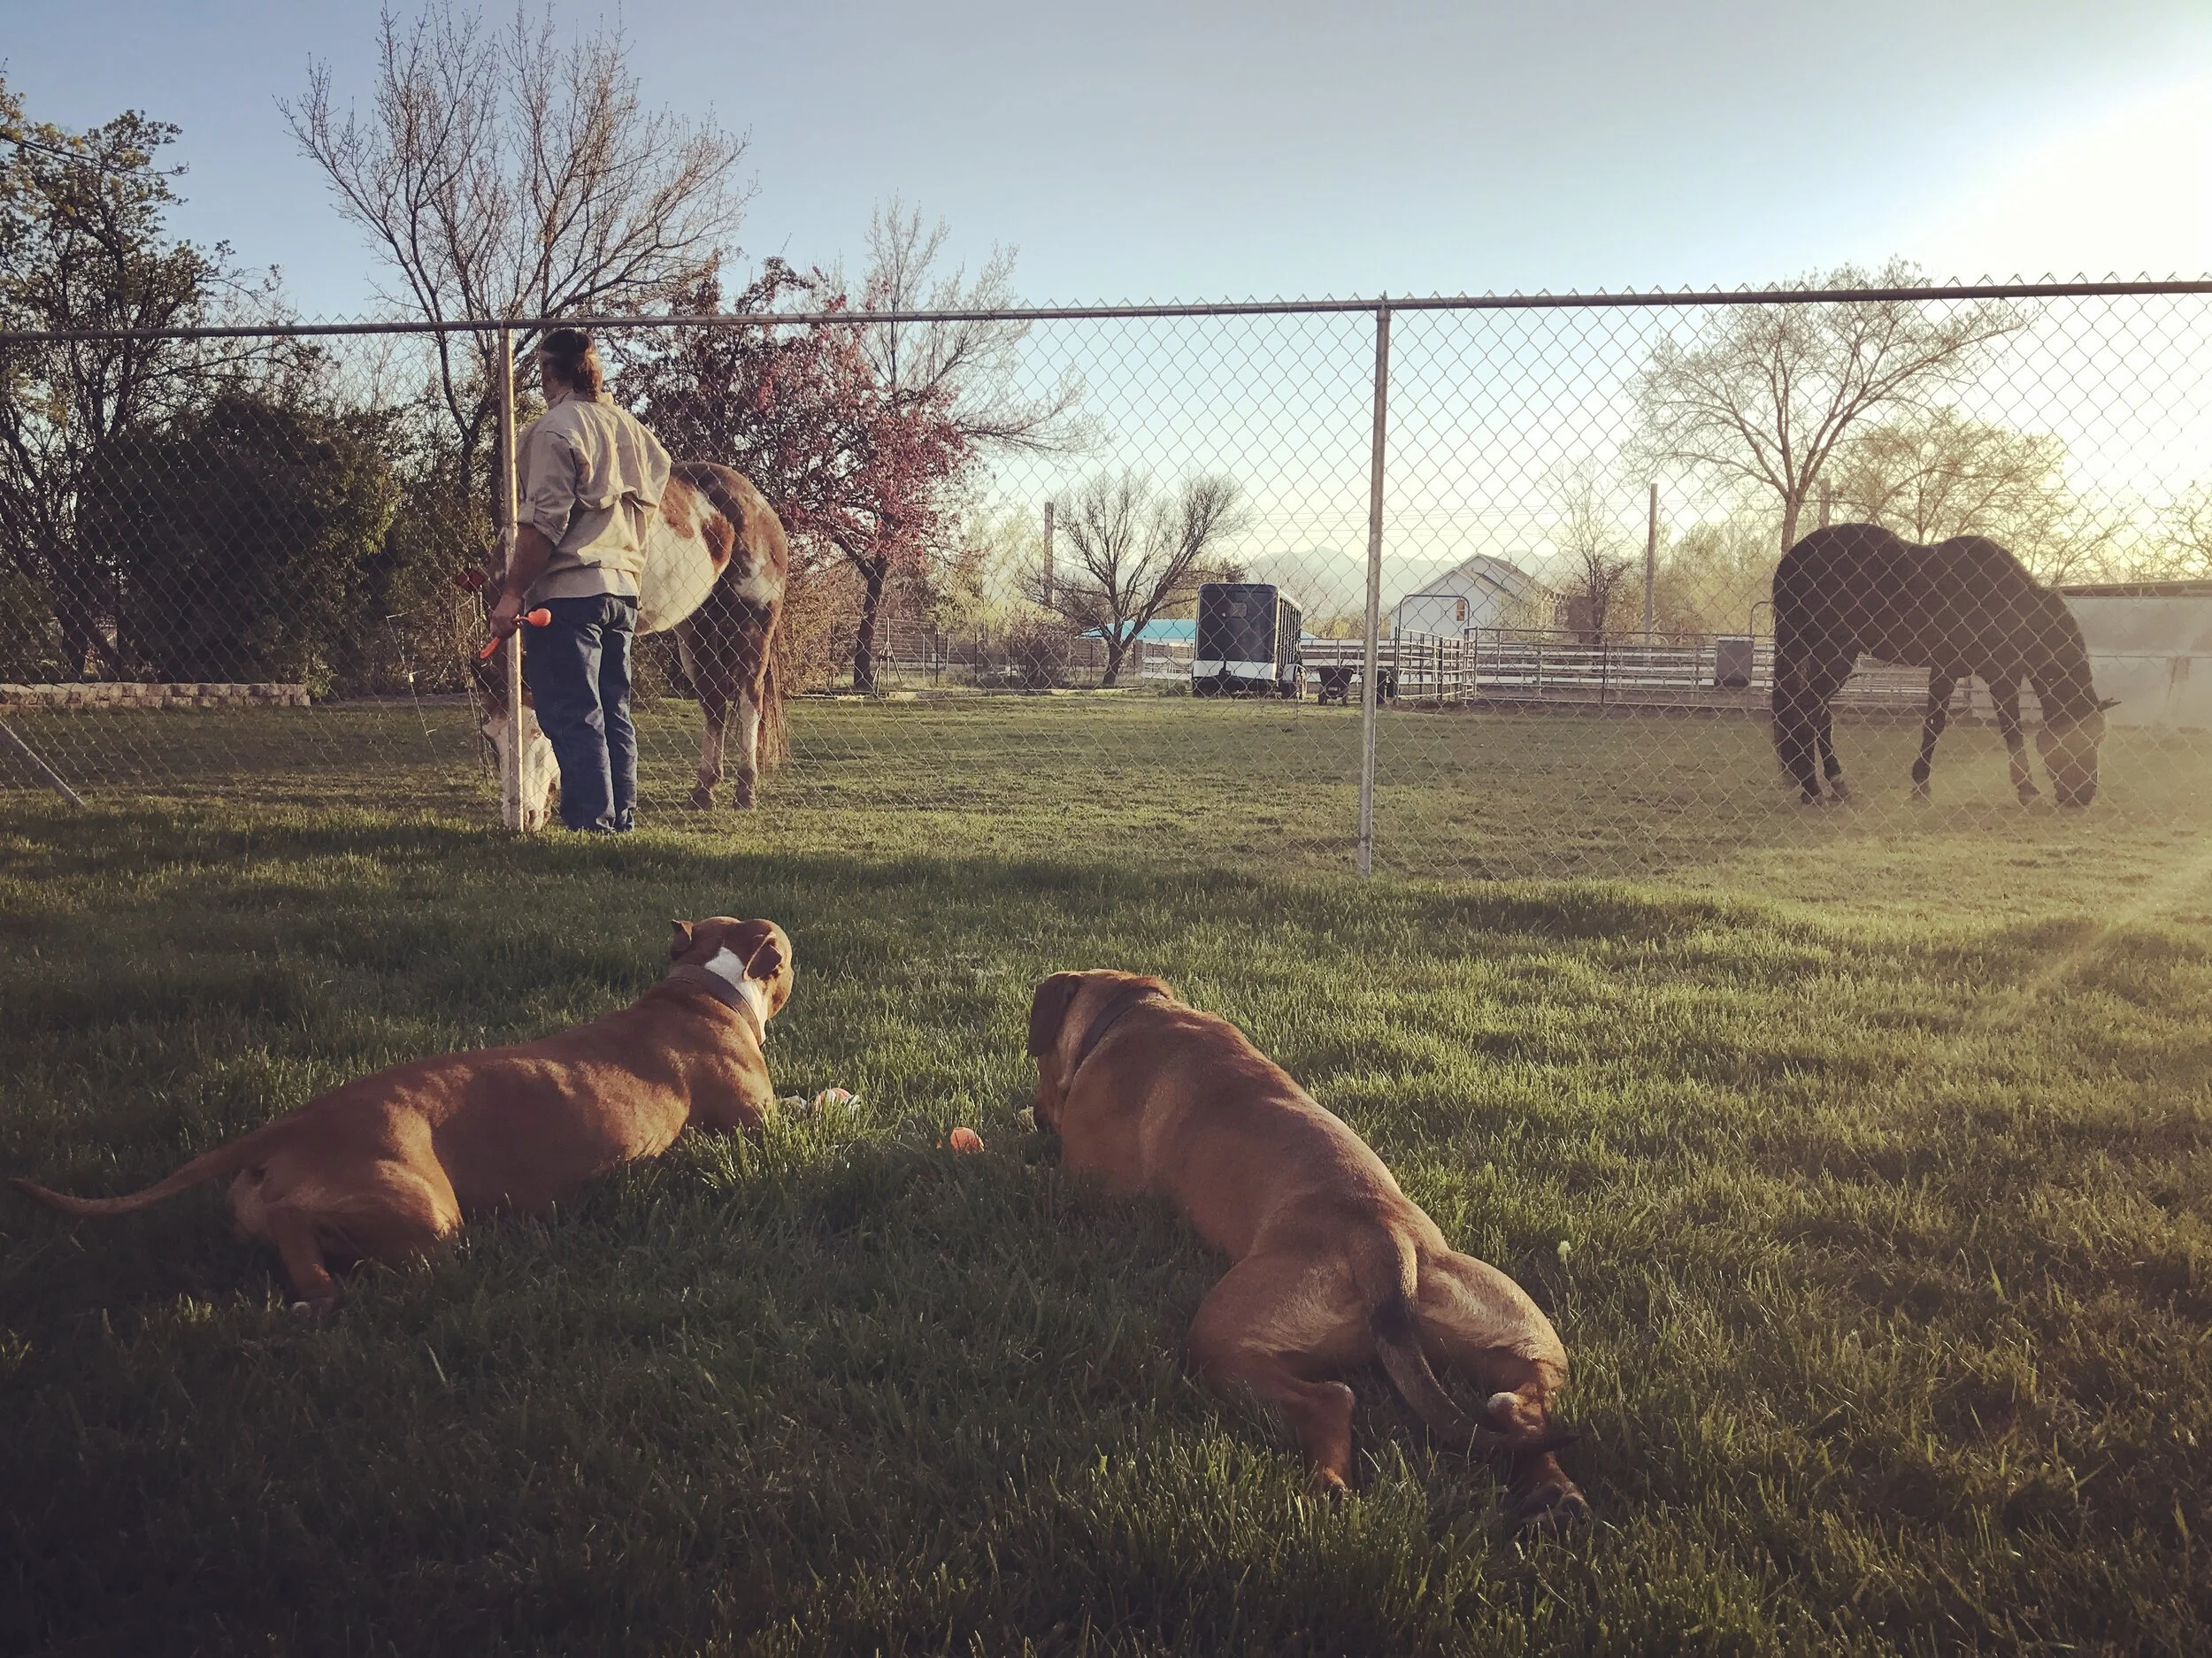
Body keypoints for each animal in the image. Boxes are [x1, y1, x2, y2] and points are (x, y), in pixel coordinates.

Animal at [469, 461, 790, 821]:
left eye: (538, 731)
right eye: (491, 739)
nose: (523, 815)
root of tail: (757, 504)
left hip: (753, 622)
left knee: (749, 699)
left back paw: (745, 791)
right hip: (696, 630)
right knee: (715, 702)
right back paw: (703, 791)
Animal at [1770, 523, 2114, 808]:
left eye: (2099, 739)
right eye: (2081, 741)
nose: (2083, 796)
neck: (2009, 602)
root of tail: (1792, 560)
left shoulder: (1971, 673)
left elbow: (1938, 726)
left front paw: (1921, 785)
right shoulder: (1986, 676)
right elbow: (2002, 729)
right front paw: (2026, 789)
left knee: (1819, 714)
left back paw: (1835, 784)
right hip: (1833, 653)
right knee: (1808, 710)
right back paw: (1812, 789)